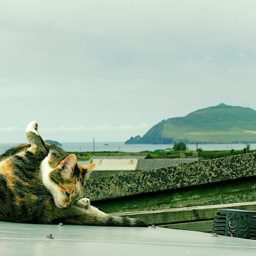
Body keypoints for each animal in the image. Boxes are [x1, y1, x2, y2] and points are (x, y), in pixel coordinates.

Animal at [0, 121, 146, 226]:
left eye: (73, 197)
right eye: (67, 193)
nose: (66, 206)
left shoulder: (28, 158)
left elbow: (37, 140)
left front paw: (33, 125)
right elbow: (40, 141)